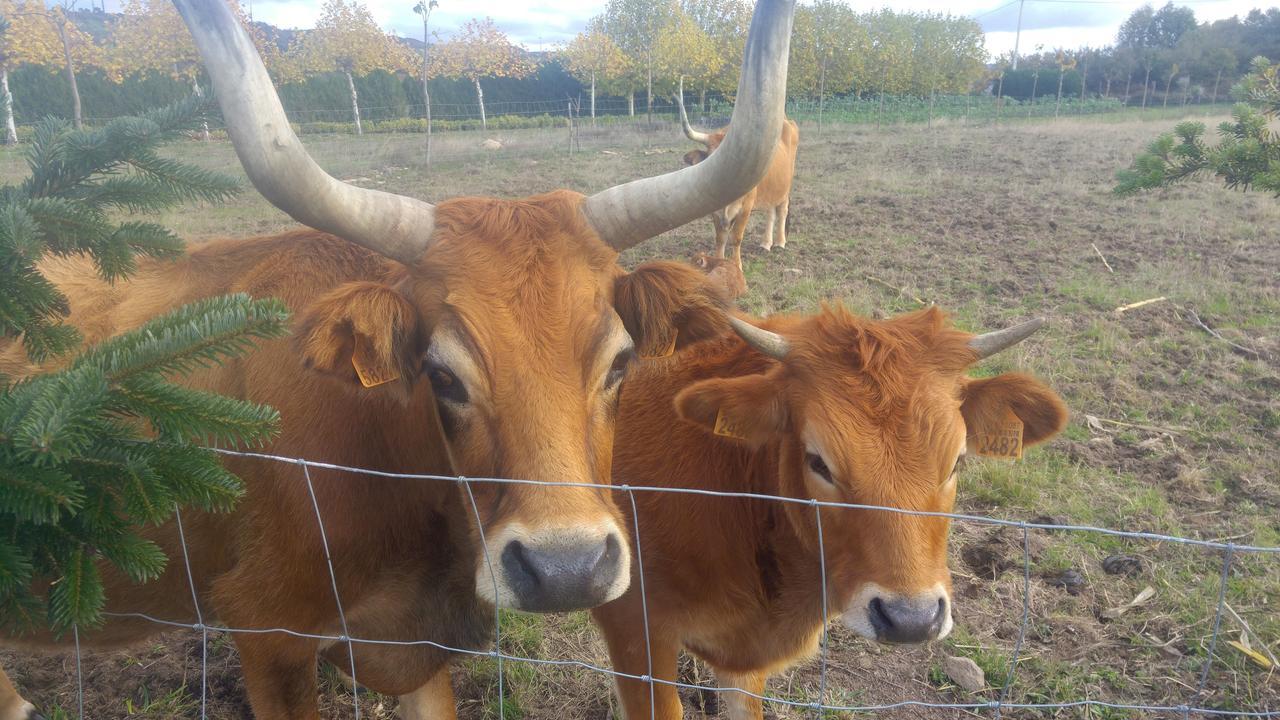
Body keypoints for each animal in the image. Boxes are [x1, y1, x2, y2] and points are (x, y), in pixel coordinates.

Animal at [675, 76, 793, 266]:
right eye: (710, 159)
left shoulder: (745, 209)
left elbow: (736, 238)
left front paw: (737, 265)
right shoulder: (715, 212)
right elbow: (721, 238)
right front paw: (719, 262)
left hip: (785, 187)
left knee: (782, 210)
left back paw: (780, 242)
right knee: (770, 211)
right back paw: (766, 243)